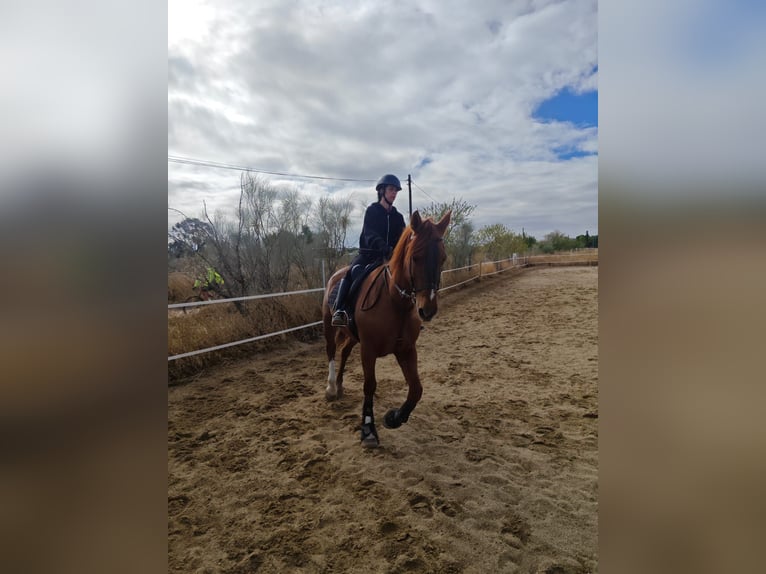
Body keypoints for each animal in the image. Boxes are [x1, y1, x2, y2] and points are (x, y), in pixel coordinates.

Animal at [321, 210, 451, 448]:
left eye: (443, 258)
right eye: (415, 257)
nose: (427, 310)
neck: (394, 301)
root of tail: (336, 275)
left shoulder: (406, 349)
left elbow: (416, 389)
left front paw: (394, 418)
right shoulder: (369, 350)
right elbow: (369, 385)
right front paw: (368, 430)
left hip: (353, 336)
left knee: (344, 351)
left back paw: (341, 385)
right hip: (329, 326)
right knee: (331, 351)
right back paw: (332, 388)